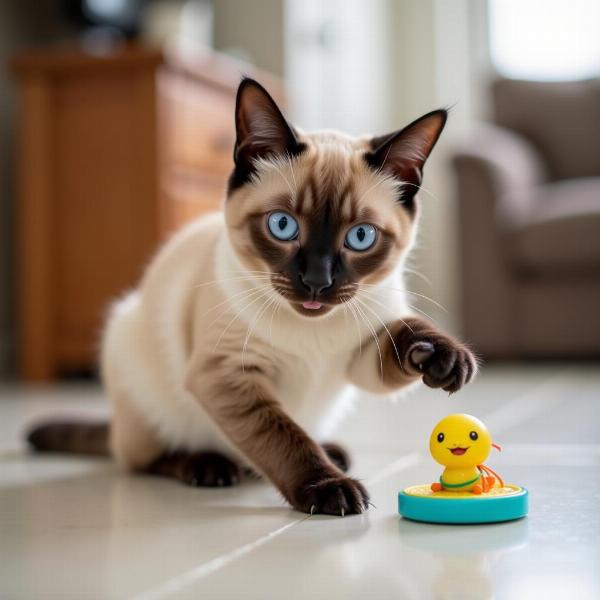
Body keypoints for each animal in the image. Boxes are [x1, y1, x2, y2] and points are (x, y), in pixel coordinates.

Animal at [29, 78, 478, 516]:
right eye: (282, 226)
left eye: (361, 237)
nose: (317, 282)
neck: (313, 333)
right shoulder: (228, 374)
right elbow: (284, 438)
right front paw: (330, 490)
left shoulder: (361, 356)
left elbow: (404, 335)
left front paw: (440, 357)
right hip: (131, 353)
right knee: (146, 458)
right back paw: (210, 466)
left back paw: (331, 450)